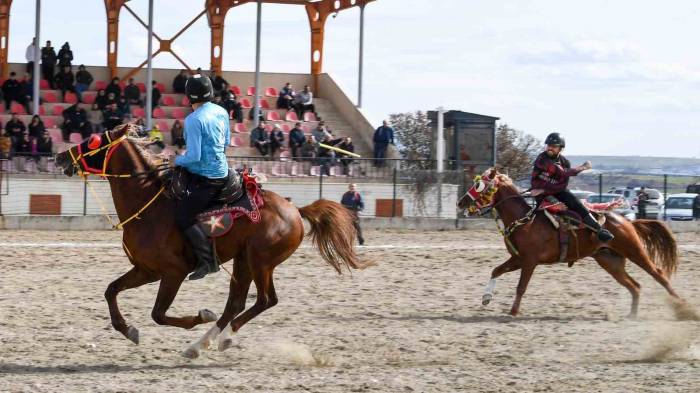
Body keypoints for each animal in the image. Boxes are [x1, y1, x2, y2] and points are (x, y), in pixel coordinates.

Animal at [54, 124, 370, 356]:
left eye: (93, 141)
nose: (60, 157)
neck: (148, 206)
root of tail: (295, 209)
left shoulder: (173, 272)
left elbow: (158, 314)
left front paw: (201, 315)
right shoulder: (146, 269)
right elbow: (111, 291)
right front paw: (128, 329)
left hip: (260, 262)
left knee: (265, 300)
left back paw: (222, 337)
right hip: (243, 262)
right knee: (236, 303)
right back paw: (201, 344)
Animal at [454, 167, 684, 316]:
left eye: (479, 185)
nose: (460, 202)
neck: (525, 220)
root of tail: (627, 221)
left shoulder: (529, 262)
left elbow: (521, 287)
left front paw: (513, 311)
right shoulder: (518, 258)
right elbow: (496, 271)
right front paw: (486, 297)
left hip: (634, 250)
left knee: (658, 274)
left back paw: (683, 306)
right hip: (610, 261)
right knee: (635, 286)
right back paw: (632, 315)